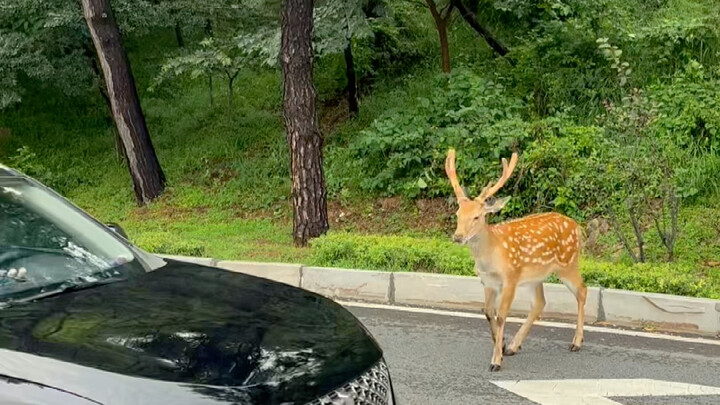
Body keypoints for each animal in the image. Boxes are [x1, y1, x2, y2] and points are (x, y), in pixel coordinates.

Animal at [445, 149, 586, 372]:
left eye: (477, 217)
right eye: (458, 214)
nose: (458, 237)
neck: (491, 255)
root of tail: (577, 227)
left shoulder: (510, 277)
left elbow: (502, 315)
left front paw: (496, 360)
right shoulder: (488, 282)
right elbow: (488, 311)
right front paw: (501, 345)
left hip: (568, 263)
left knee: (582, 290)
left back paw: (576, 342)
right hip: (534, 277)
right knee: (539, 303)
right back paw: (513, 345)